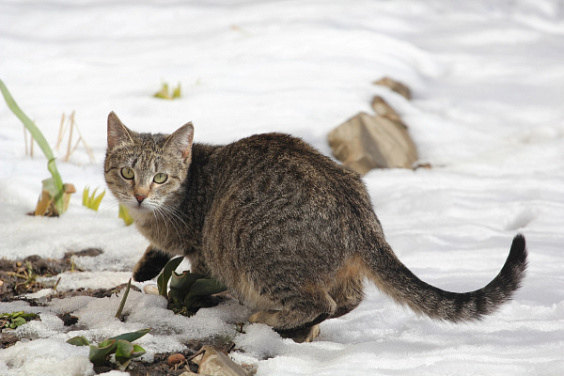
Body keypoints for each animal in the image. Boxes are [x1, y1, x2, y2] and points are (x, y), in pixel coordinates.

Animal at [103, 111, 528, 340]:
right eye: (127, 173)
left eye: (160, 178)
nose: (138, 195)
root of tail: (361, 215)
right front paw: (145, 266)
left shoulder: (203, 254)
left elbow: (194, 283)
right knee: (349, 299)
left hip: (259, 255)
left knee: (319, 302)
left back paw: (268, 317)